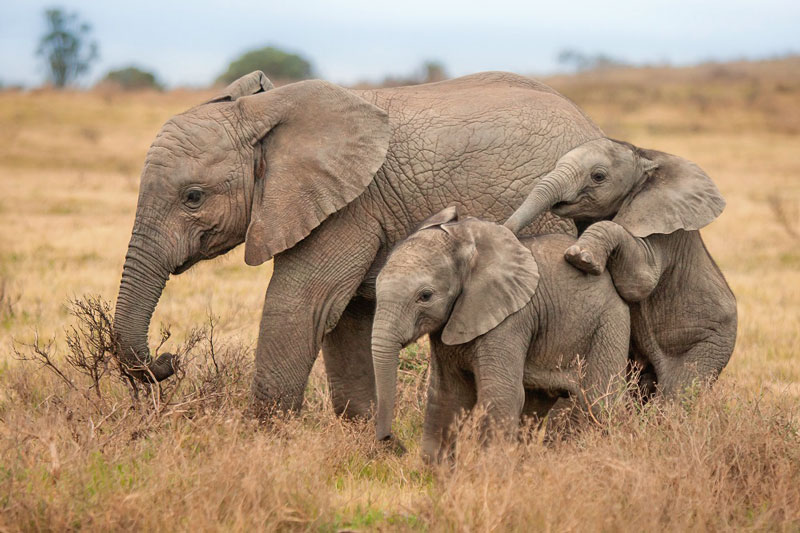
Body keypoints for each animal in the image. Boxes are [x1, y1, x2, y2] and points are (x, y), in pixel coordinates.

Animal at [111, 69, 600, 416]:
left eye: (193, 197)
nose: (169, 359)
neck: (264, 110)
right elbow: (343, 320)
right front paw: (369, 443)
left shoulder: (349, 207)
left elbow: (302, 305)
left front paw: (263, 445)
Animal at [374, 208, 632, 462]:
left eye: (425, 296)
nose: (389, 439)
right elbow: (449, 394)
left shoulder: (510, 320)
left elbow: (501, 394)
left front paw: (490, 469)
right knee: (535, 405)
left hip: (609, 326)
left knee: (597, 401)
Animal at [506, 139, 736, 396]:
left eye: (598, 176)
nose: (507, 229)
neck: (645, 158)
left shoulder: (662, 230)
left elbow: (640, 282)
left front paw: (581, 258)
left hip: (709, 344)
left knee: (675, 391)